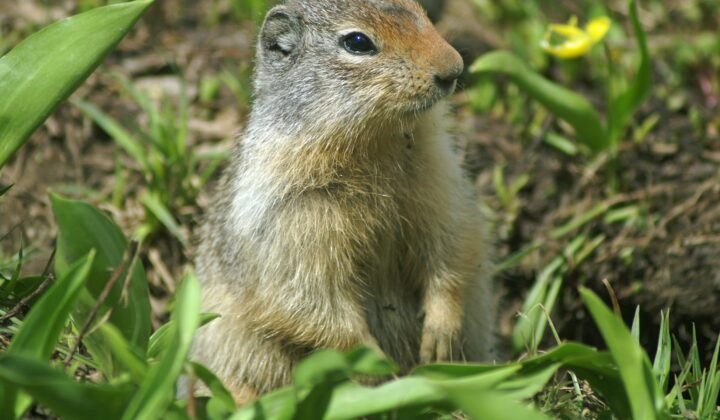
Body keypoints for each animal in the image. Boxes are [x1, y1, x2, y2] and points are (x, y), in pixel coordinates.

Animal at [189, 0, 496, 403]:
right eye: (357, 42)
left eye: (421, 10)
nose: (453, 68)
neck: (375, 146)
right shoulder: (292, 222)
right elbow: (311, 301)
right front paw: (382, 370)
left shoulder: (441, 183)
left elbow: (453, 245)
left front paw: (438, 337)